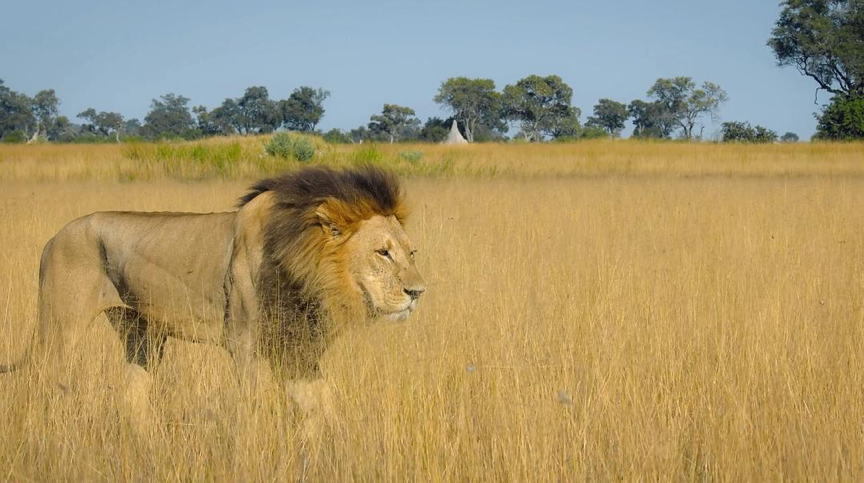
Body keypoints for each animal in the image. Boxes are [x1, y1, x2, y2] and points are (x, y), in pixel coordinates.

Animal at [0, 167, 426, 404]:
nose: (417, 293)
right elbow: (254, 413)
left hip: (142, 335)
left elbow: (321, 407)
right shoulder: (245, 348)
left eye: (411, 252)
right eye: (382, 253)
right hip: (60, 330)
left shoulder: (297, 350)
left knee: (133, 398)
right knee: (41, 381)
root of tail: (54, 237)